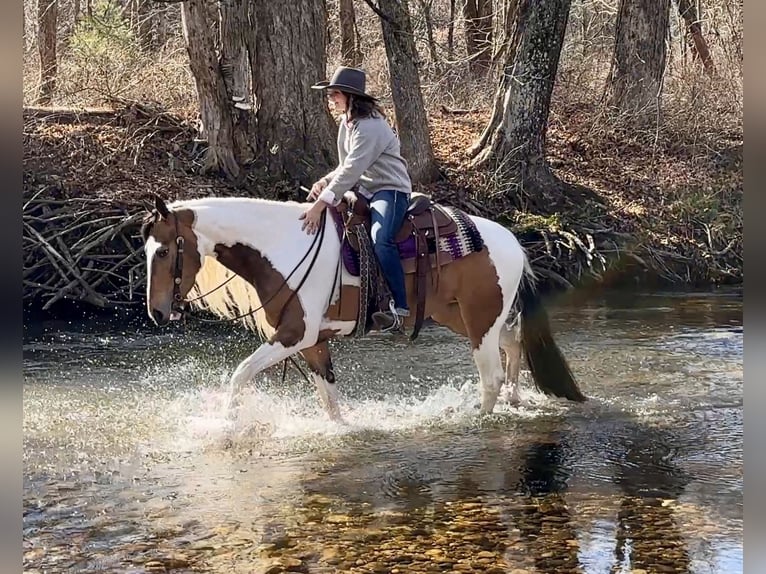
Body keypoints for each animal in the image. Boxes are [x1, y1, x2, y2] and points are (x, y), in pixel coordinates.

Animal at [142, 196, 588, 420]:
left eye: (163, 251)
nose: (157, 313)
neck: (284, 246)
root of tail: (513, 242)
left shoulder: (292, 335)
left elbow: (239, 375)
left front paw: (228, 432)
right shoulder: (312, 342)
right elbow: (329, 399)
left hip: (479, 319)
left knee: (490, 374)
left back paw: (481, 419)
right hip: (459, 316)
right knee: (513, 342)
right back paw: (516, 399)